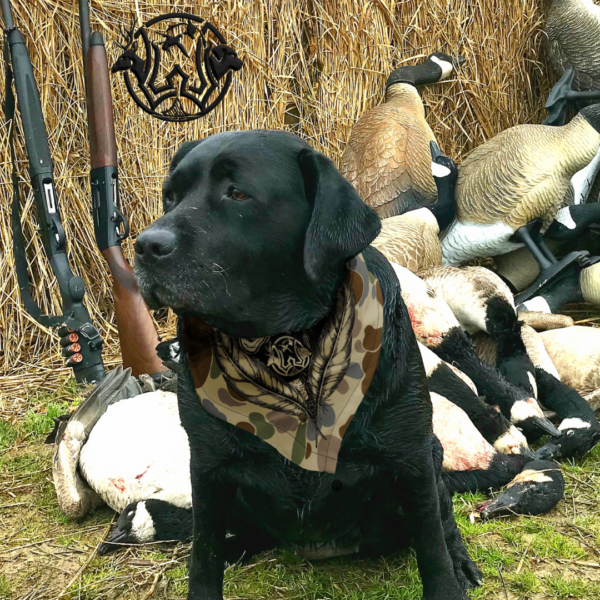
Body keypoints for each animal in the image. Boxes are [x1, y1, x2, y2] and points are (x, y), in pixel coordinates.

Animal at [134, 131, 480, 600]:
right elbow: (203, 555)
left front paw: (449, 575)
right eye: (170, 197)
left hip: (432, 452)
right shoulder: (207, 466)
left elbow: (432, 547)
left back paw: (461, 560)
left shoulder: (410, 457)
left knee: (443, 524)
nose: (145, 246)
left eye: (237, 193)